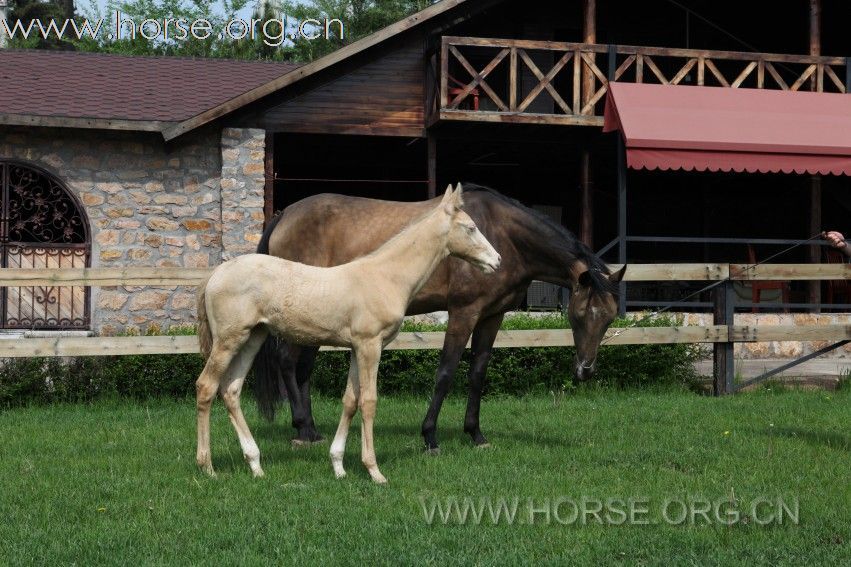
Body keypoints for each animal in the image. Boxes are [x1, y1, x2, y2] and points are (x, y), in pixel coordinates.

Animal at [253, 186, 624, 452]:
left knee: (302, 369)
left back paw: (311, 431)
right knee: (286, 362)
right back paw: (302, 426)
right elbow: (446, 372)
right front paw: (429, 436)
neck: (503, 233)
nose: (585, 371)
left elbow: (477, 373)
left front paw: (475, 434)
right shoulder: (464, 312)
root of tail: (284, 215)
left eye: (608, 318)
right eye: (579, 315)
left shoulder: (492, 316)